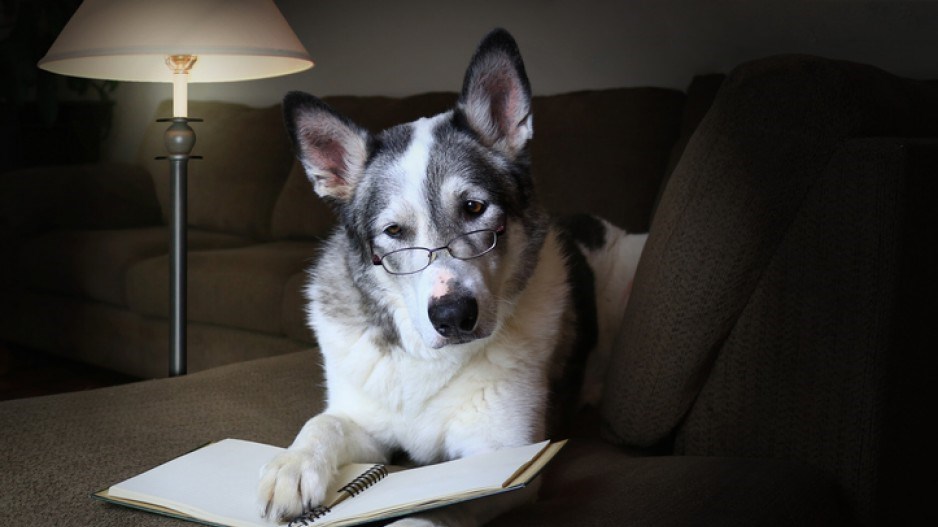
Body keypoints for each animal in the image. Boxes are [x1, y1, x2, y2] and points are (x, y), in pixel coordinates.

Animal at [260, 29, 648, 527]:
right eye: (394, 232)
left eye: (475, 208)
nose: (453, 316)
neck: (427, 358)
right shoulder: (364, 422)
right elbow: (324, 422)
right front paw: (292, 465)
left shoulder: (504, 461)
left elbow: (444, 507)